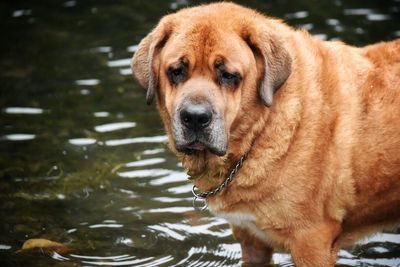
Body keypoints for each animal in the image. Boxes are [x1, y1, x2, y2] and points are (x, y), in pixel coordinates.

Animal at [132, 2, 400, 267]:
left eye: (228, 75)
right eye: (176, 71)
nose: (195, 117)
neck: (259, 132)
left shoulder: (312, 241)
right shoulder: (251, 239)